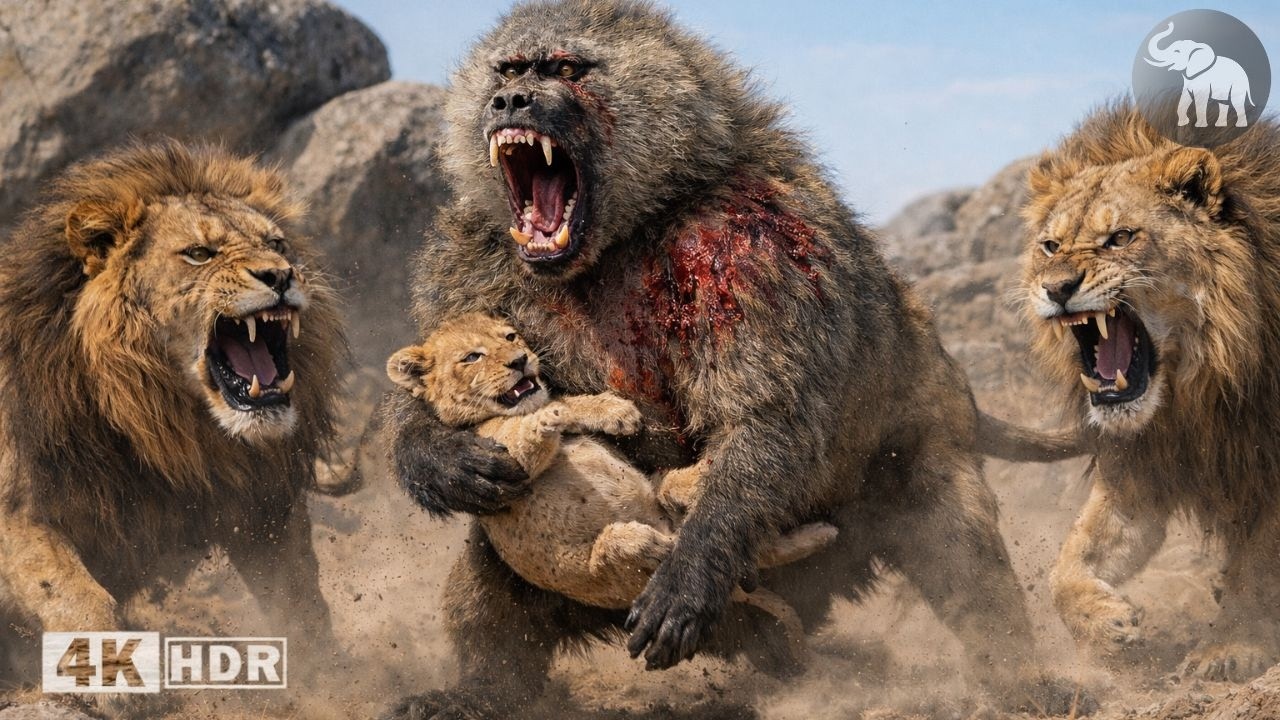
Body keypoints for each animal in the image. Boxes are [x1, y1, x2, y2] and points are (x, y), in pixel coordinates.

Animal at [0, 141, 345, 687]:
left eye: (278, 244)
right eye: (200, 253)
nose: (281, 275)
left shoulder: (261, 502)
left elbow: (298, 600)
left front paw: (326, 678)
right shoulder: (17, 511)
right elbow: (70, 591)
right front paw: (109, 676)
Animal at [382, 2, 1089, 718]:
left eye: (564, 69)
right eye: (508, 70)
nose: (509, 100)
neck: (625, 235)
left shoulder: (751, 245)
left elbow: (768, 416)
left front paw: (691, 574)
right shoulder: (469, 254)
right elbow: (425, 382)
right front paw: (438, 458)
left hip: (909, 437)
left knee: (947, 524)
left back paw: (1020, 679)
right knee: (492, 561)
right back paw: (478, 692)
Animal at [1022, 100, 1280, 681]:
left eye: (1120, 238)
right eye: (1050, 246)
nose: (1056, 287)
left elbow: (1259, 565)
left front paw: (1232, 646)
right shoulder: (1135, 473)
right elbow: (1067, 565)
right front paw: (1105, 626)